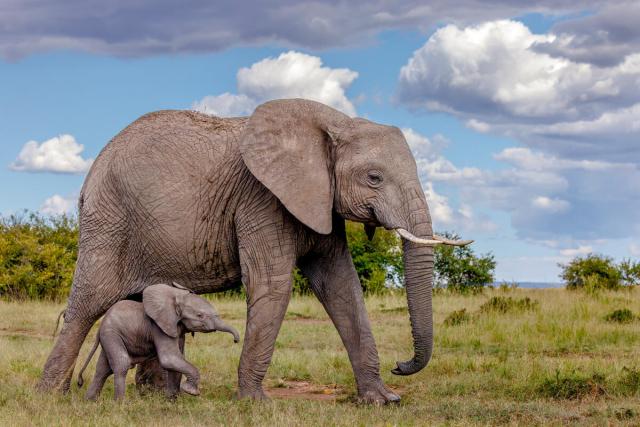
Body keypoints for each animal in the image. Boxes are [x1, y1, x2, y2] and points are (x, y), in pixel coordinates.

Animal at [76, 283, 240, 400]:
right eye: (200, 315)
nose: (236, 340)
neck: (176, 297)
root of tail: (101, 325)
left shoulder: (175, 328)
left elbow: (177, 359)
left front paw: (172, 401)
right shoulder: (158, 326)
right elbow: (169, 358)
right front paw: (191, 392)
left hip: (110, 336)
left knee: (103, 369)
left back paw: (90, 402)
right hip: (111, 333)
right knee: (121, 364)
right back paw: (120, 404)